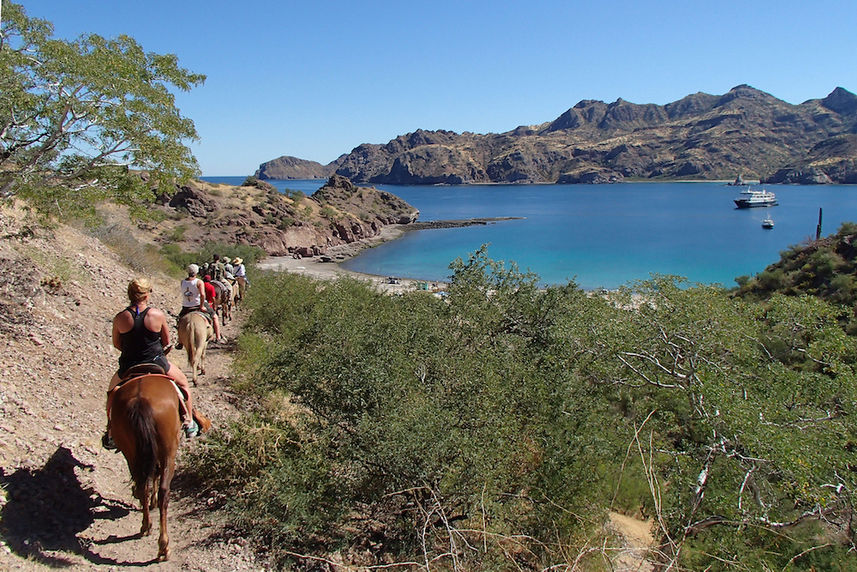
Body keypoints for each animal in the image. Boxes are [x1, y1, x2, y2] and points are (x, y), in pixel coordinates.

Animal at [110, 374, 181, 560]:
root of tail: (140, 400)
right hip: (169, 451)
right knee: (163, 490)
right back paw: (163, 546)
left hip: (130, 451)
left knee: (143, 483)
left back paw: (146, 526)